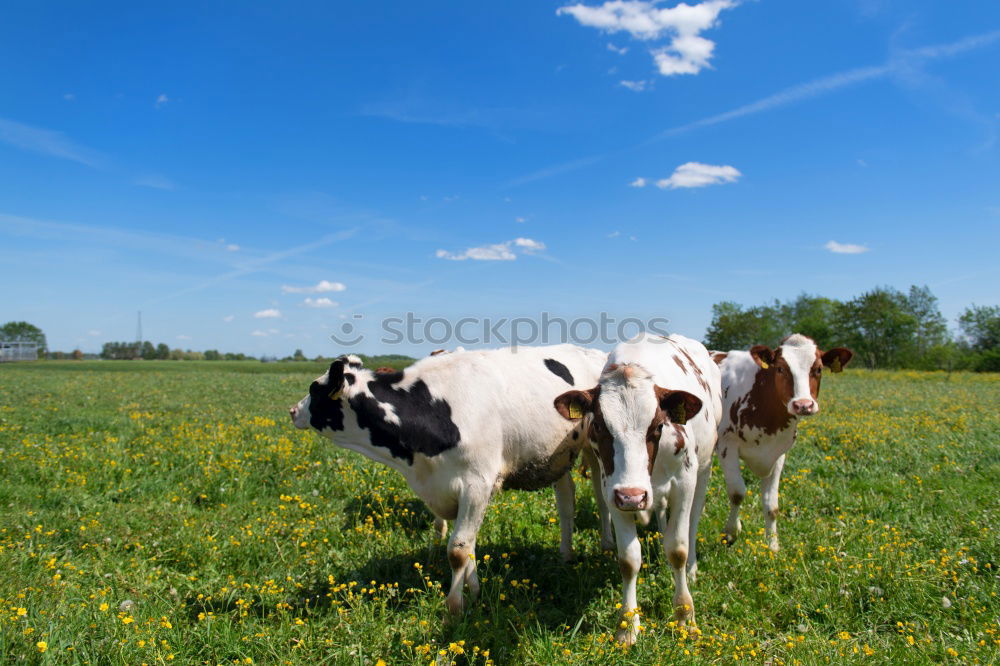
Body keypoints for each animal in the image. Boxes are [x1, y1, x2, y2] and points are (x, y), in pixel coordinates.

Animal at [286, 348, 604, 612]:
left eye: (314, 389)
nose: (292, 411)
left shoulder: (477, 483)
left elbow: (459, 550)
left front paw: (454, 609)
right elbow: (470, 545)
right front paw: (474, 593)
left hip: (593, 448)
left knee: (600, 495)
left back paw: (606, 545)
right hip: (557, 458)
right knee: (566, 500)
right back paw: (566, 555)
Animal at [716, 332, 856, 548]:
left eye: (818, 369)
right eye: (780, 368)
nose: (803, 405)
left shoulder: (777, 453)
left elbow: (771, 504)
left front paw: (773, 545)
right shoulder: (726, 445)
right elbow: (737, 493)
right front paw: (731, 532)